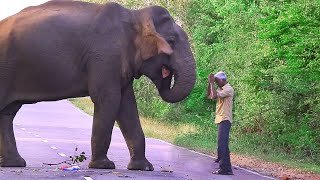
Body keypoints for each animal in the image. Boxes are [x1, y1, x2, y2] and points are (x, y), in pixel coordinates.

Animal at [0, 0, 196, 171]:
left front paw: (143, 168)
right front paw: (104, 166)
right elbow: (109, 99)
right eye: (171, 41)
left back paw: (14, 164)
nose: (166, 75)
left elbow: (127, 105)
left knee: (7, 113)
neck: (135, 16)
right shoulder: (105, 55)